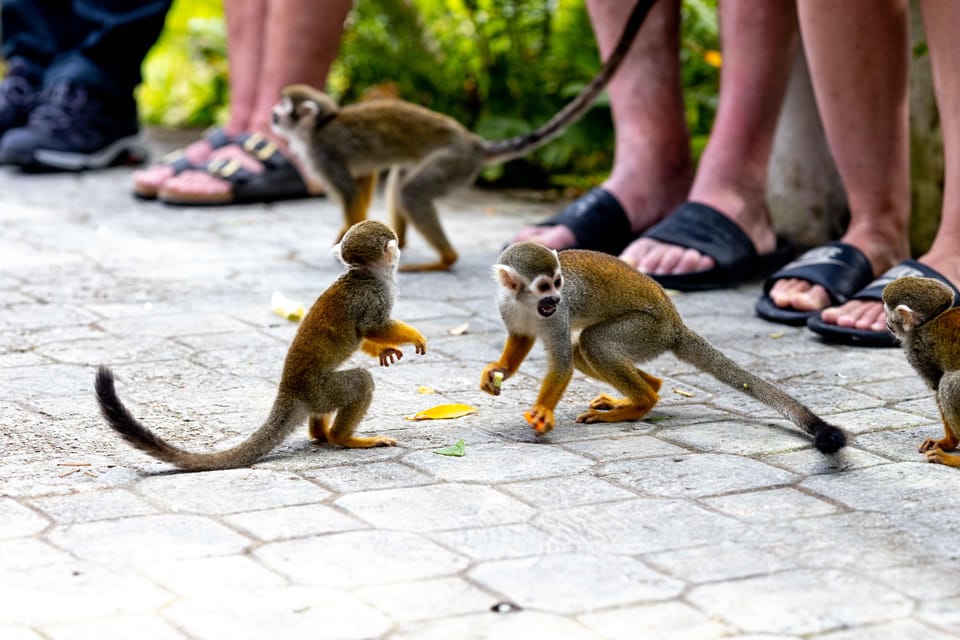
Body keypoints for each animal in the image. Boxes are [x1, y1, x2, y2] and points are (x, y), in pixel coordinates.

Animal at [95, 220, 427, 471]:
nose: (399, 250)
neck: (366, 274)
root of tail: (288, 389)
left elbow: (368, 334)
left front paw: (384, 349)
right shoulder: (376, 295)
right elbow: (372, 327)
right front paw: (413, 337)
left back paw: (320, 434)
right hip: (321, 389)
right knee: (360, 381)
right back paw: (342, 438)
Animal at [269, 0, 657, 272]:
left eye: (282, 109)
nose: (272, 116)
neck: (317, 128)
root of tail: (475, 143)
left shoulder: (320, 153)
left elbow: (350, 192)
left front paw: (344, 242)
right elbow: (363, 180)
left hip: (455, 161)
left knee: (412, 191)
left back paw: (444, 259)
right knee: (400, 180)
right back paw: (400, 243)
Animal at [479, 242, 848, 454]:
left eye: (558, 283)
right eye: (545, 287)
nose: (555, 299)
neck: (526, 303)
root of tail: (675, 325)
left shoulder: (559, 315)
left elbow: (562, 363)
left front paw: (543, 411)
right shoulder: (507, 305)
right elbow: (522, 338)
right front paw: (500, 371)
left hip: (647, 330)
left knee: (592, 343)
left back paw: (642, 402)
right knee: (586, 347)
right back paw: (642, 393)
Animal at [882, 275, 960, 467]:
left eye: (886, 312)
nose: (885, 322)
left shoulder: (918, 351)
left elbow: (936, 385)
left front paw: (947, 443)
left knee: (949, 382)